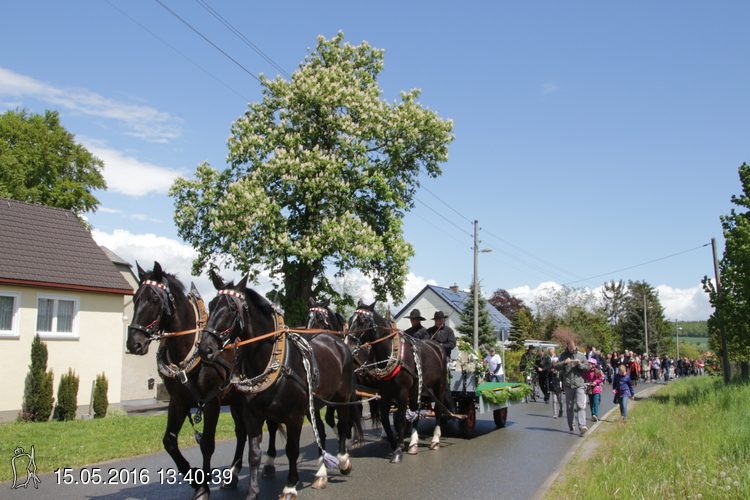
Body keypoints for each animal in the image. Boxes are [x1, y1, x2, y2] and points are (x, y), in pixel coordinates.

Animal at [128, 262, 247, 500]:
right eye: (135, 298)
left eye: (154, 299)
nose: (134, 343)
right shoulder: (178, 402)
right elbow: (169, 441)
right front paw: (193, 478)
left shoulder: (211, 403)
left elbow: (207, 444)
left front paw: (203, 487)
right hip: (236, 401)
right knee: (241, 432)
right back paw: (233, 473)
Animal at [197, 276, 356, 498]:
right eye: (211, 305)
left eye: (232, 308)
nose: (205, 348)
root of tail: (337, 342)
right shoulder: (252, 415)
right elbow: (254, 453)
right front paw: (252, 492)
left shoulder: (294, 416)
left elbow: (292, 450)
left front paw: (290, 486)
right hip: (313, 404)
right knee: (322, 432)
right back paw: (321, 474)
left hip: (342, 396)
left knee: (342, 425)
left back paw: (343, 460)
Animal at [346, 298, 446, 462]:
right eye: (350, 320)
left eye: (362, 321)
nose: (348, 346)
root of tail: (438, 346)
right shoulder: (385, 393)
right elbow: (385, 419)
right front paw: (393, 442)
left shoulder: (402, 393)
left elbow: (399, 420)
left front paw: (398, 450)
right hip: (417, 389)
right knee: (415, 412)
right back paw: (413, 443)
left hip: (439, 386)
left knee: (438, 409)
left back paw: (435, 440)